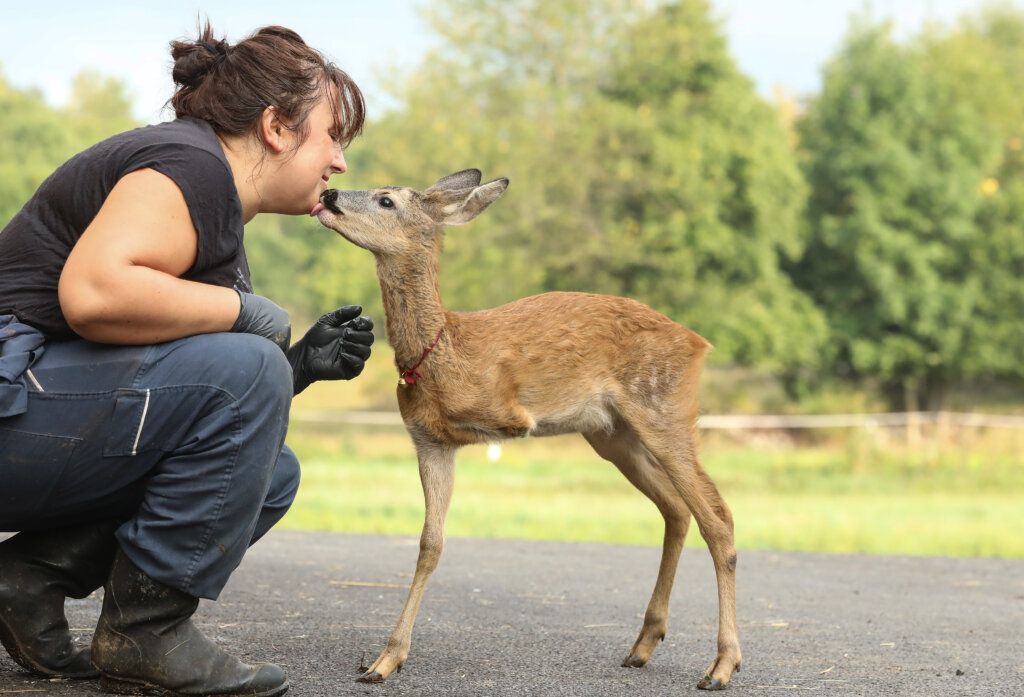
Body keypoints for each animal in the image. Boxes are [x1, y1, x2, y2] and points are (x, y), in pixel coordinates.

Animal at [307, 169, 741, 691]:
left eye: (386, 200)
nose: (328, 194)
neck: (445, 353)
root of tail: (699, 342)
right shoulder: (430, 440)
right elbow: (430, 544)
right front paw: (385, 660)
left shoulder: (504, 415)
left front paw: (386, 658)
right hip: (613, 434)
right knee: (676, 509)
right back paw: (643, 646)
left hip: (664, 408)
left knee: (717, 517)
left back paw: (721, 666)